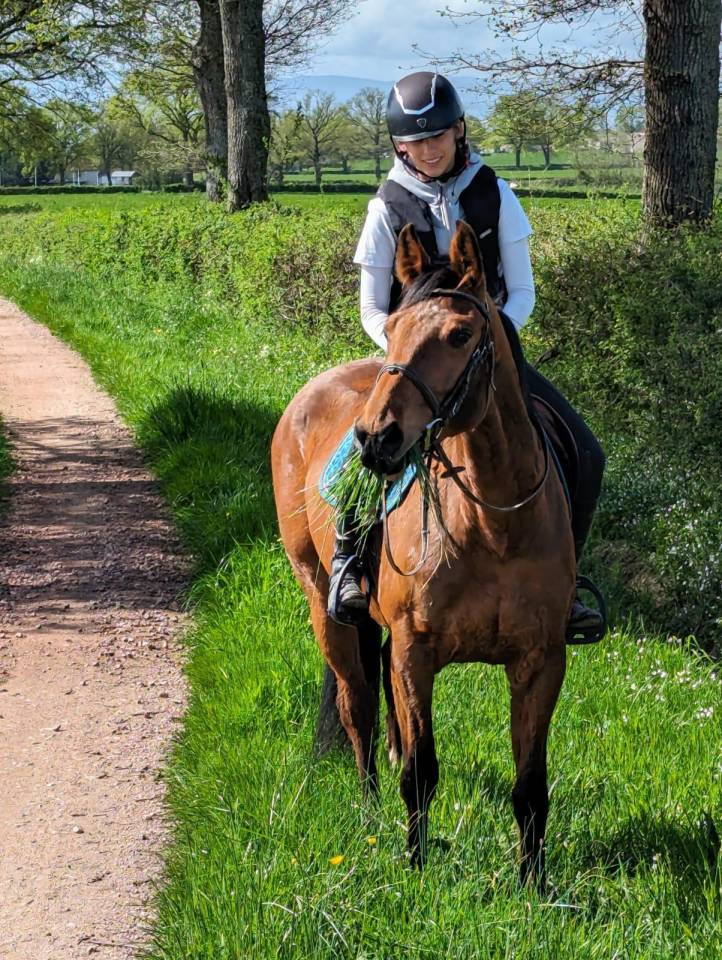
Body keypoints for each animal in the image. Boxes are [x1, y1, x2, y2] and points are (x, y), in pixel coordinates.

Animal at [271, 220, 576, 884]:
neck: (493, 522)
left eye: (460, 335)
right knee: (358, 706)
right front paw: (416, 868)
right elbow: (421, 772)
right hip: (322, 601)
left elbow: (530, 784)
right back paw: (366, 811)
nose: (376, 439)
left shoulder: (541, 659)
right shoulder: (418, 652)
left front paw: (534, 884)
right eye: (391, 329)